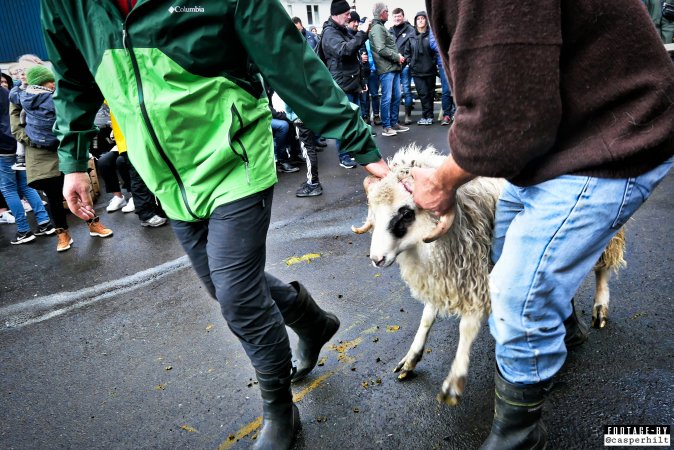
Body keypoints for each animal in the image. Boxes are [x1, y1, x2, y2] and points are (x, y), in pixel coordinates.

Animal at [352, 146, 624, 406]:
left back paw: (600, 307)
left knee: (602, 269)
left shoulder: (476, 277)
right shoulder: (443, 276)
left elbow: (467, 327)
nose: (377, 259)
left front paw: (455, 379)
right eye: (373, 211)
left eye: (406, 213)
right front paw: (411, 358)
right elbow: (427, 319)